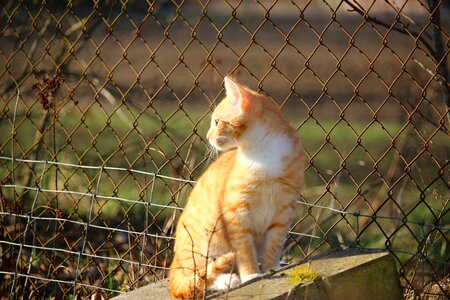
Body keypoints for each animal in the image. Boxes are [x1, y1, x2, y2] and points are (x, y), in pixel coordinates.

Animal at [170, 77, 306, 298]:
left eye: (216, 122)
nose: (207, 136)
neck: (262, 152)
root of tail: (174, 263)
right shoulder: (236, 212)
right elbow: (244, 250)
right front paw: (251, 275)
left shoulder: (284, 210)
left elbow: (273, 245)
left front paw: (270, 270)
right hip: (204, 243)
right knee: (196, 279)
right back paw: (226, 280)